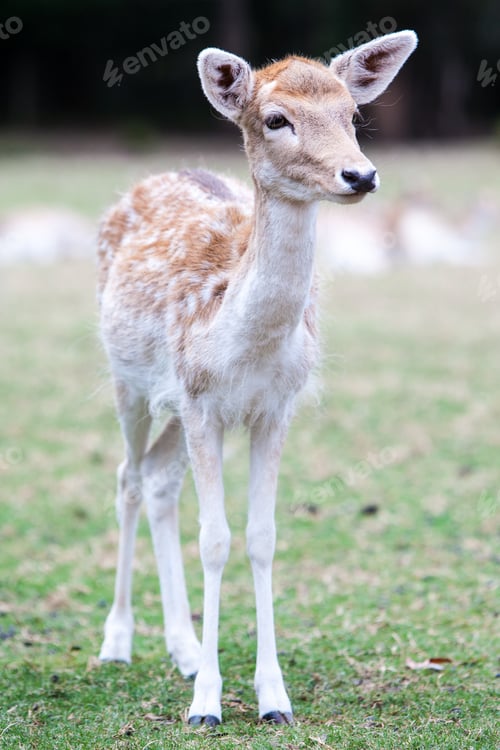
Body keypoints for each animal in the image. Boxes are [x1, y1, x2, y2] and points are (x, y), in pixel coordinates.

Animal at [96, 30, 417, 727]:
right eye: (276, 119)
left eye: (352, 116)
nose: (361, 174)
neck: (244, 346)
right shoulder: (201, 404)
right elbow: (215, 539)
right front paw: (207, 705)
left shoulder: (274, 408)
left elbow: (262, 537)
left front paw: (274, 698)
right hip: (129, 381)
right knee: (128, 477)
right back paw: (117, 641)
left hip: (174, 407)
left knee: (158, 480)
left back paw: (184, 648)